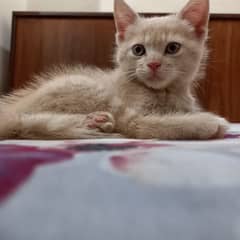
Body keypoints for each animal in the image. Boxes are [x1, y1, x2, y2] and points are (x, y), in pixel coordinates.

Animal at [0, 0, 230, 140]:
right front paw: (206, 122)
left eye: (173, 48)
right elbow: (144, 124)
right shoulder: (136, 113)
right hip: (88, 86)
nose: (153, 64)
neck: (166, 93)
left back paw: (98, 122)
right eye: (138, 50)